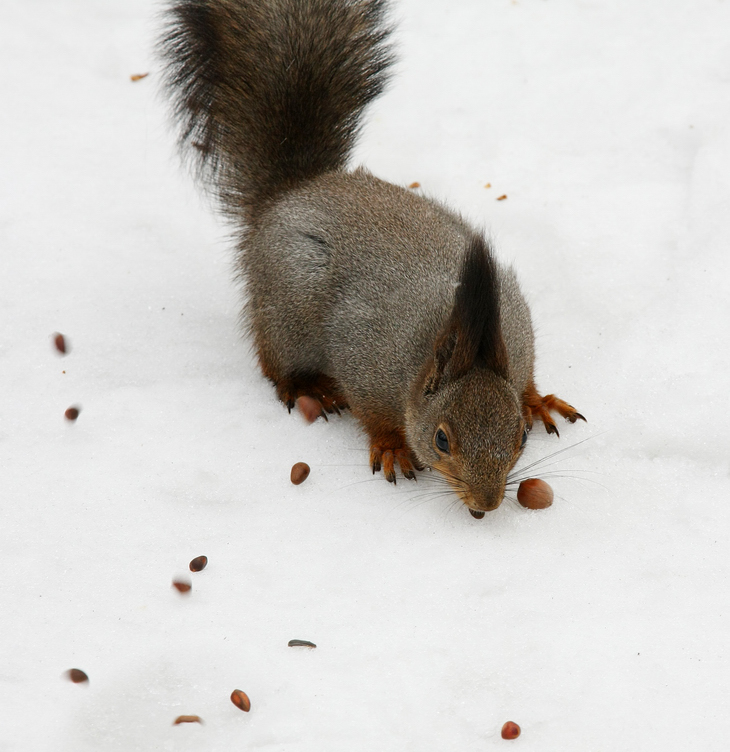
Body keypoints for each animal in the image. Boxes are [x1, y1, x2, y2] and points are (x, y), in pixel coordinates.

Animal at [159, 0, 580, 512]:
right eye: (441, 440)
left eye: (520, 437)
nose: (486, 504)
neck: (461, 337)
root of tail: (293, 193)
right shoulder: (364, 362)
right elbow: (373, 417)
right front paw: (392, 446)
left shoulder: (516, 340)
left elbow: (525, 382)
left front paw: (537, 400)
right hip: (287, 313)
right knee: (272, 359)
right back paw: (305, 385)